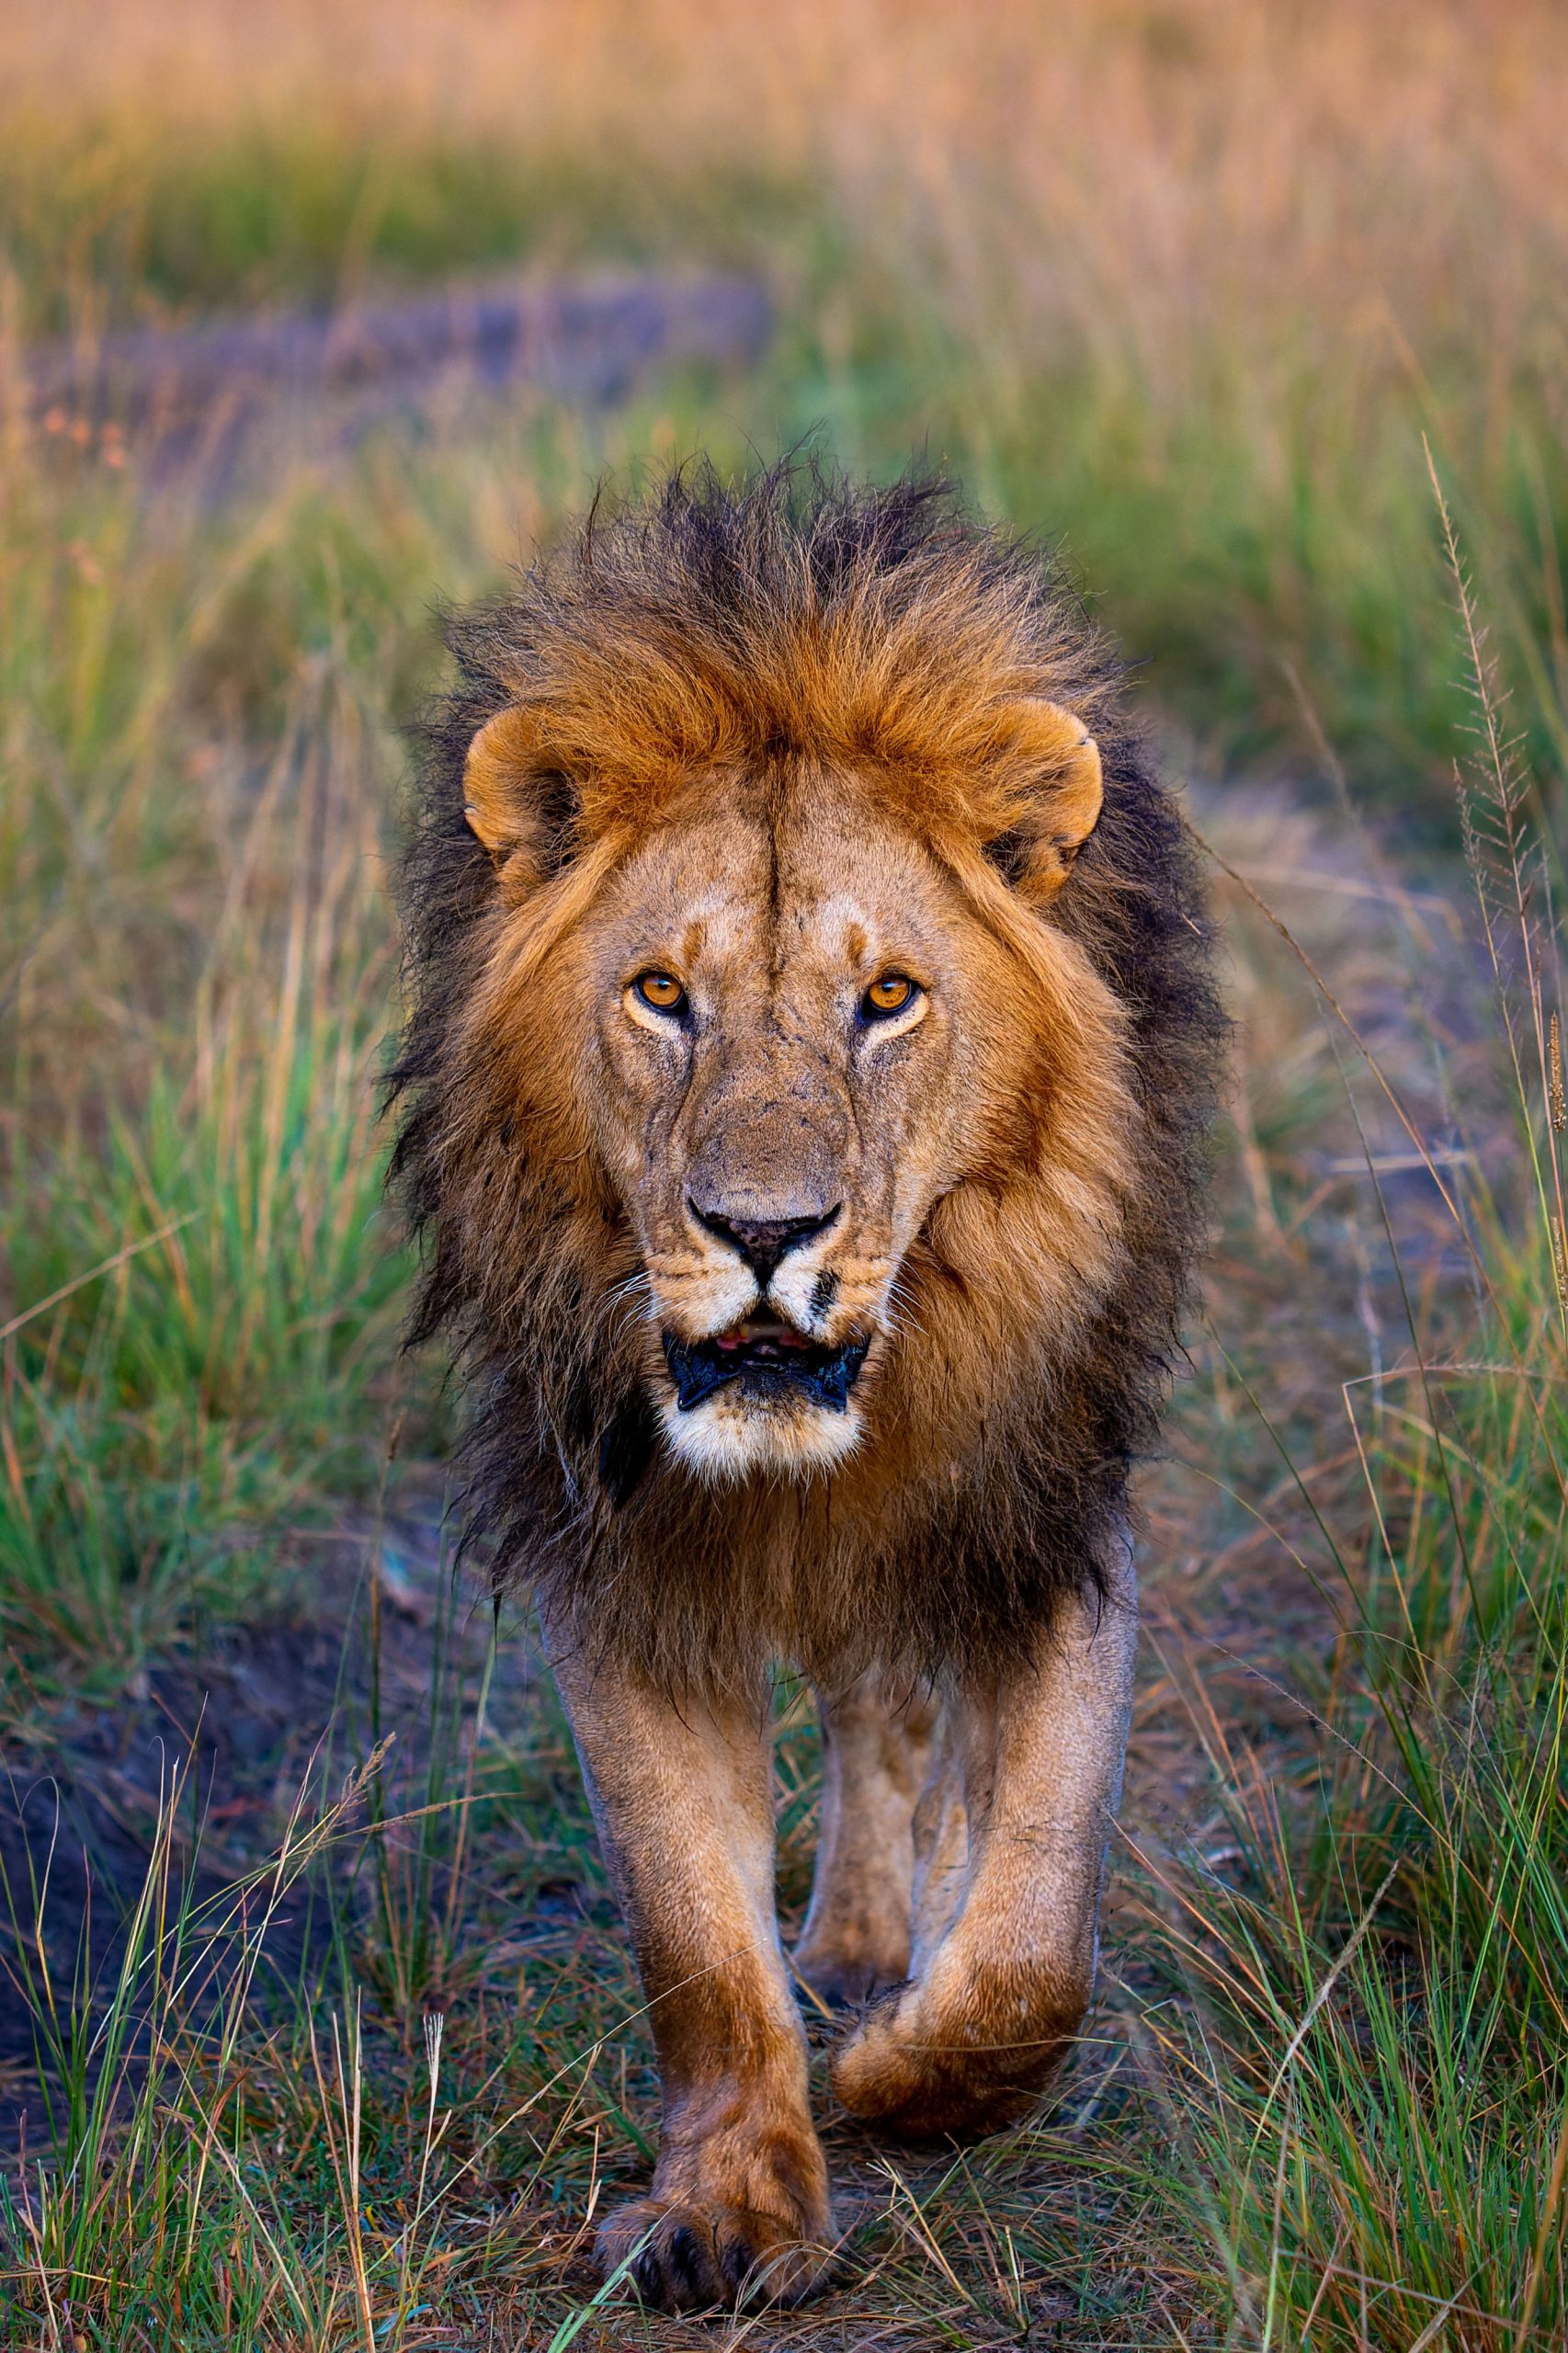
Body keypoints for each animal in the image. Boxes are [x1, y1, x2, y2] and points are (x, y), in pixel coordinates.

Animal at [388, 462, 1222, 2312]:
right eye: (661, 994)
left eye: (888, 998)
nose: (763, 1234)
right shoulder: (613, 1565)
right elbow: (693, 1937)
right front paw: (729, 2206)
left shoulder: (1042, 1523)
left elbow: (1033, 1928)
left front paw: (904, 2074)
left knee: (888, 1710)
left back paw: (866, 1958)